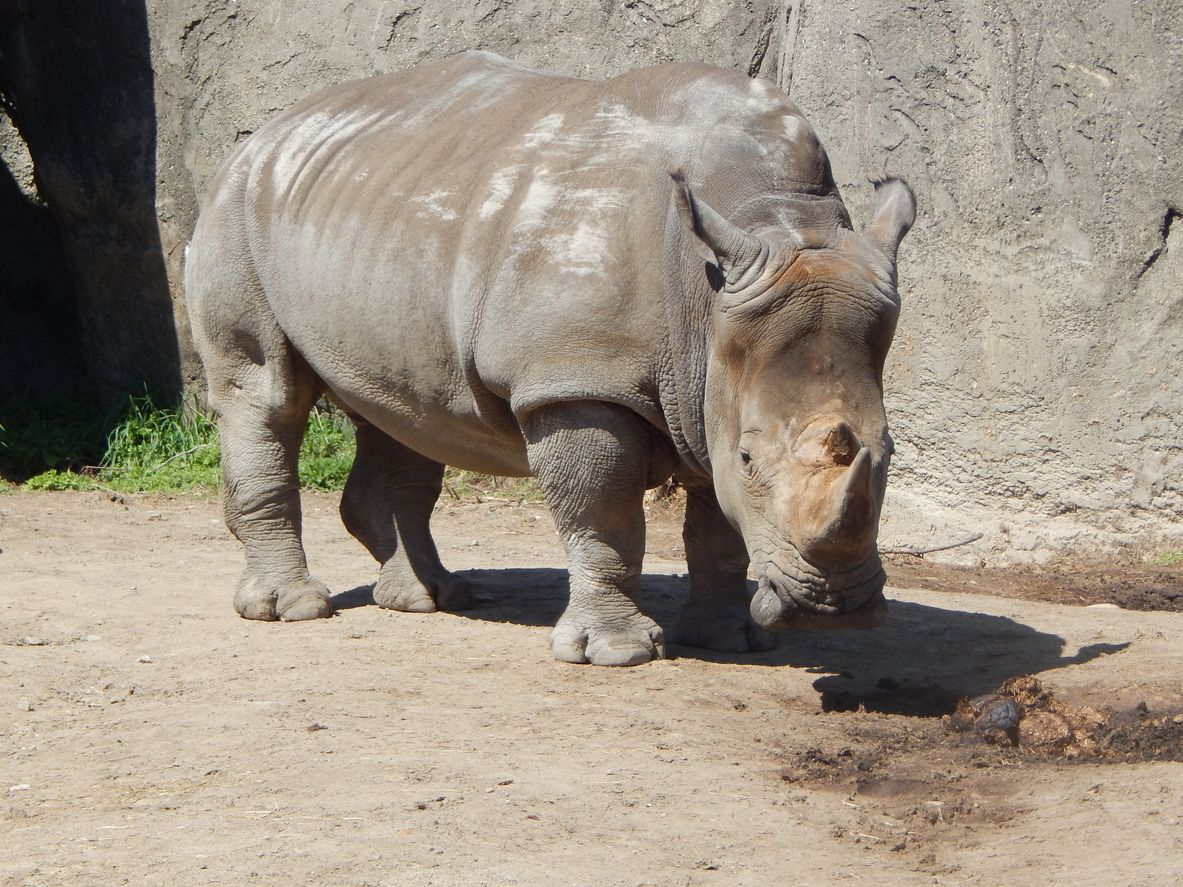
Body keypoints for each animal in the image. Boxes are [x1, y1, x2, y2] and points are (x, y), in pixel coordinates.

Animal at [185, 51, 915, 666]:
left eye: (889, 452)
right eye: (749, 458)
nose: (833, 609)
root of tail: (266, 131)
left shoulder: (709, 380)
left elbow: (716, 531)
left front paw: (730, 640)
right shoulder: (578, 380)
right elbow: (604, 515)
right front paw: (615, 653)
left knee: (400, 407)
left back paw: (430, 597)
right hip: (236, 210)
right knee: (264, 395)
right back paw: (293, 610)